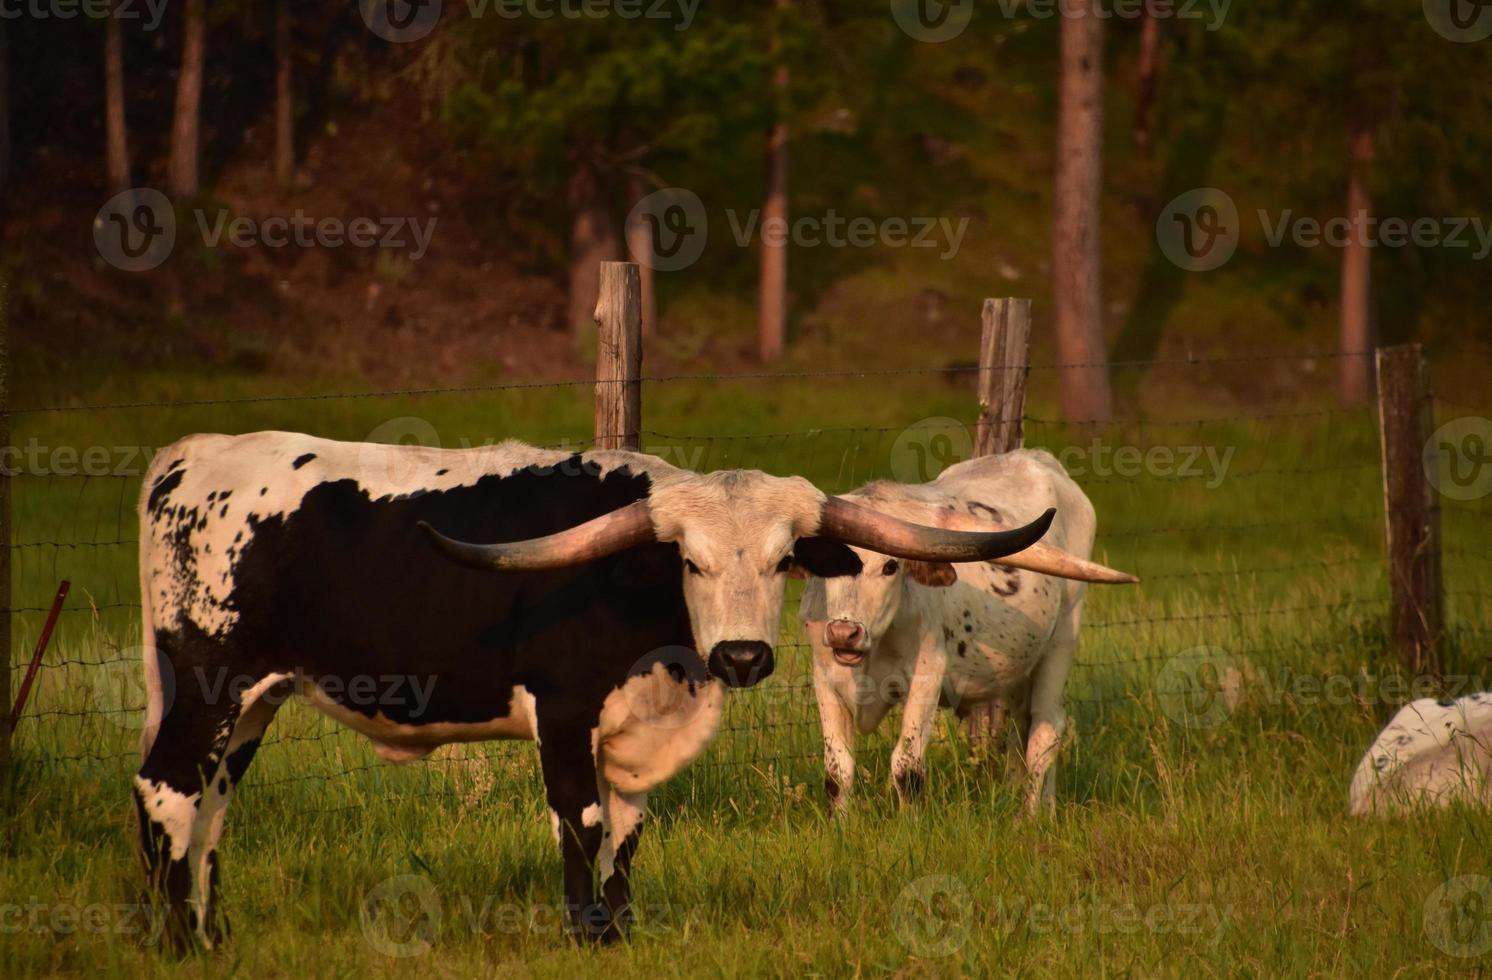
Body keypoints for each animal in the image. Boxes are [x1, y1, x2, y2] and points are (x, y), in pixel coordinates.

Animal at [131, 429, 1062, 948]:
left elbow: (628, 830)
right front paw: (585, 935)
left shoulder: (633, 730)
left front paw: (620, 933)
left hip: (253, 703)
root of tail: (189, 456)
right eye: (690, 561)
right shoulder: (565, 712)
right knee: (168, 790)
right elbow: (581, 823)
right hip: (212, 683)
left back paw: (210, 933)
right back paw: (178, 943)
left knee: (211, 807)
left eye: (781, 562)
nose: (743, 657)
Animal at [805, 447, 1127, 811]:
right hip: (1019, 663)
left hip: (1062, 639)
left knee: (1045, 730)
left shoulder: (927, 675)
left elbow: (906, 766)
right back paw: (1035, 804)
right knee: (1022, 724)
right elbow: (837, 771)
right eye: (823, 565)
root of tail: (1038, 458)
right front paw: (840, 822)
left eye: (889, 566)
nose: (844, 633)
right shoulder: (825, 679)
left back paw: (1029, 815)